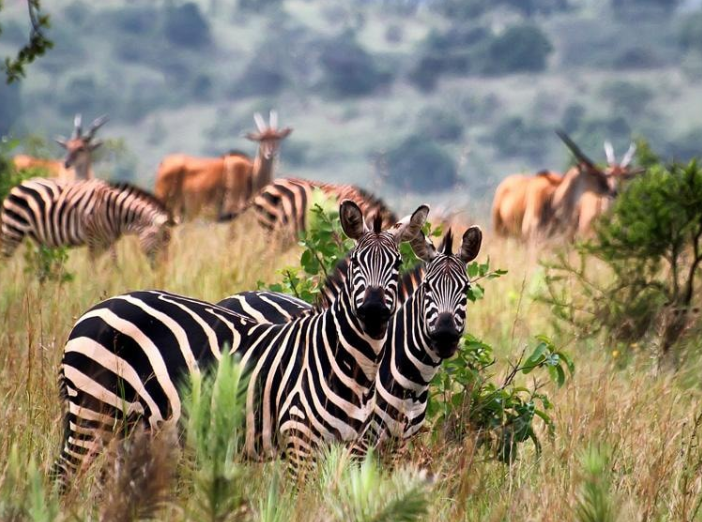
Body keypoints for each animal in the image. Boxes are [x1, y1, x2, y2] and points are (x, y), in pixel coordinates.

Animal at [0, 177, 175, 262]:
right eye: (161, 241)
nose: (163, 270)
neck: (115, 211)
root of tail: (20, 184)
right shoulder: (94, 238)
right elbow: (95, 266)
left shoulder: (108, 240)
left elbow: (113, 263)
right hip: (12, 231)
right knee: (5, 259)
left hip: (39, 239)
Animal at [51, 200, 428, 484]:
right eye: (355, 263)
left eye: (397, 264)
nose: (375, 310)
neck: (349, 362)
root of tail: (93, 310)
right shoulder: (300, 440)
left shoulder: (349, 448)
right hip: (95, 408)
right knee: (64, 476)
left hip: (125, 424)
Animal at [219, 225, 484, 448]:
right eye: (427, 287)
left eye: (466, 289)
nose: (445, 336)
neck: (413, 381)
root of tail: (235, 296)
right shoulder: (358, 440)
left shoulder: (397, 445)